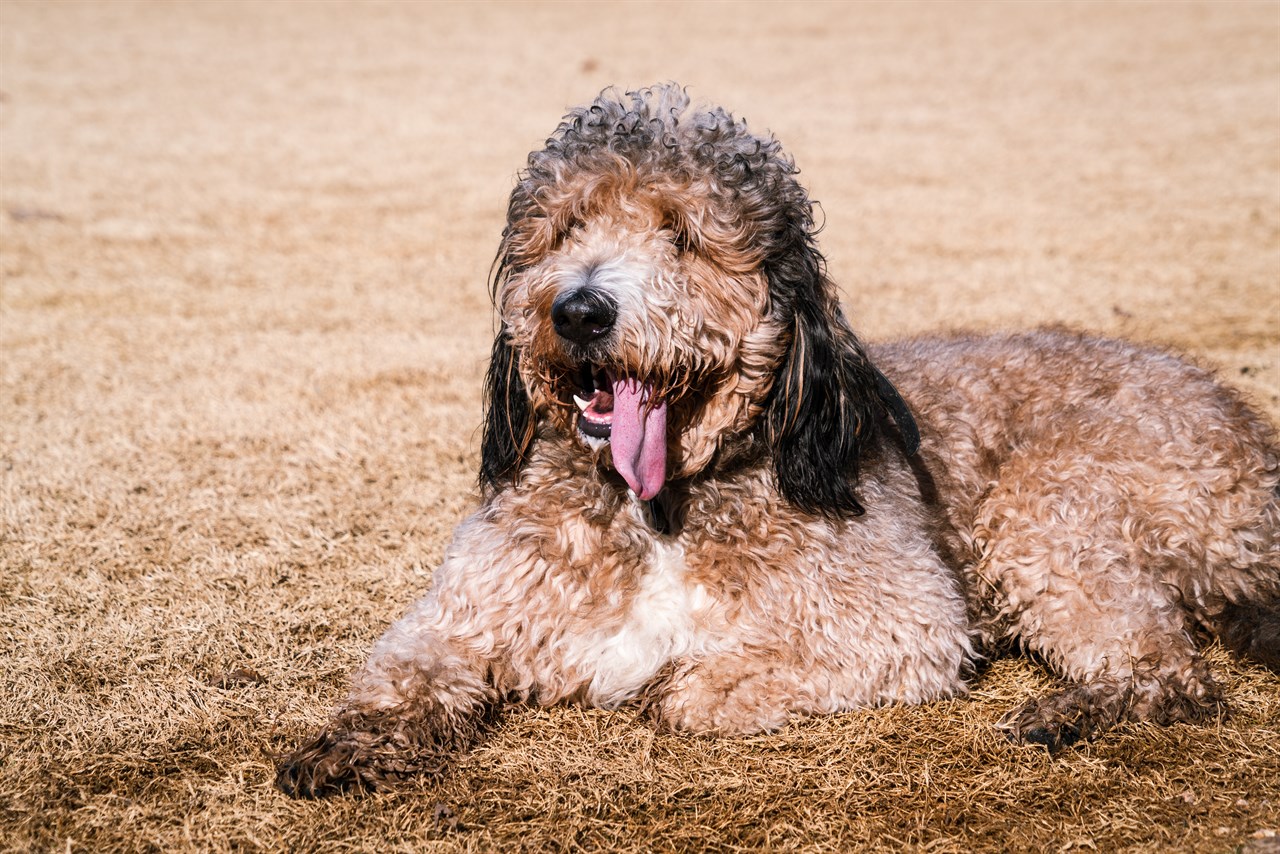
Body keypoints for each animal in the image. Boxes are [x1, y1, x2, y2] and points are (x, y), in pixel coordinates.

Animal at [280, 83, 1280, 798]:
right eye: (563, 229)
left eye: (683, 236)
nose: (579, 310)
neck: (662, 508)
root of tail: (1251, 436)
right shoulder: (467, 610)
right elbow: (404, 671)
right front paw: (347, 743)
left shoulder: (904, 622)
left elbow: (705, 686)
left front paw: (683, 687)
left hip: (1049, 514)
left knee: (1171, 677)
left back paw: (1072, 708)